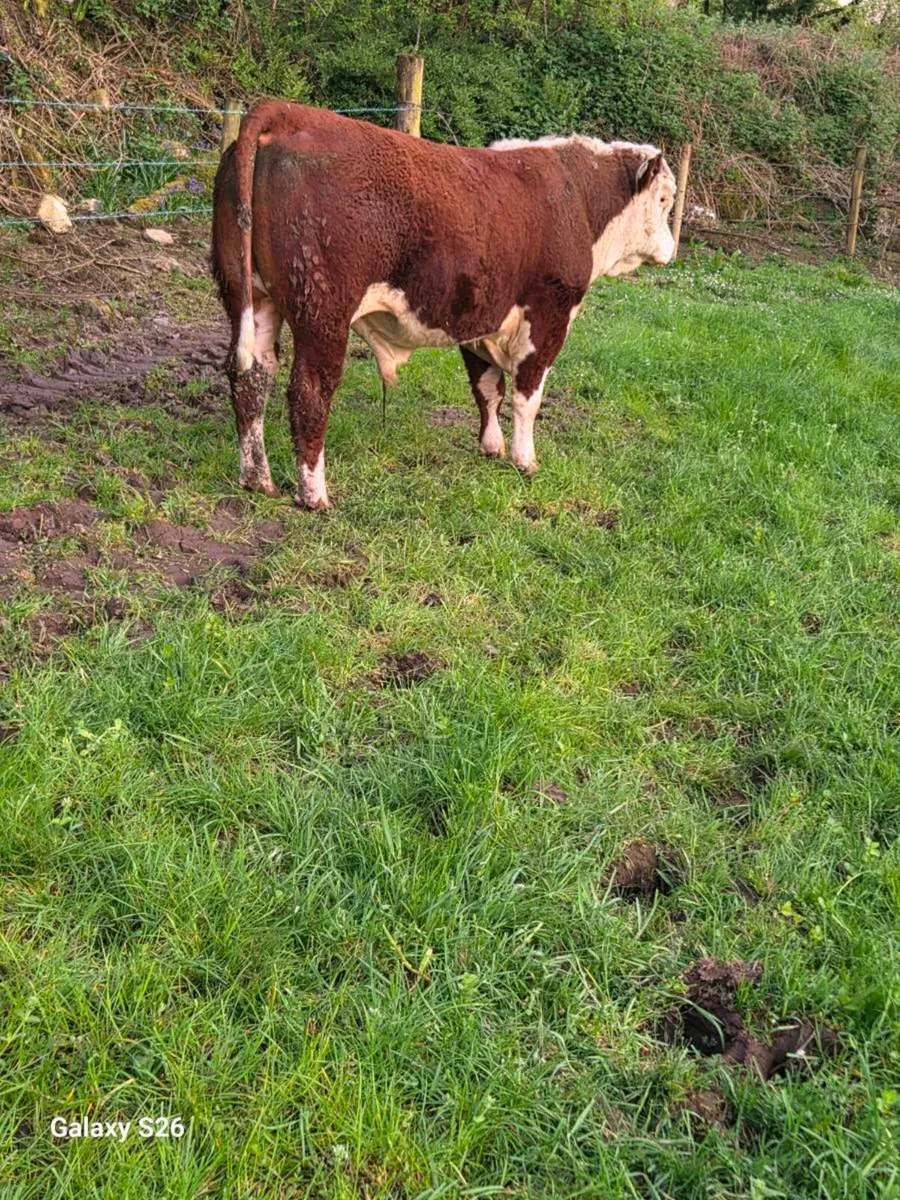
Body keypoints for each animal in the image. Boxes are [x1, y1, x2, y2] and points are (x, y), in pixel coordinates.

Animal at [211, 102, 676, 509]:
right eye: (665, 199)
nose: (672, 250)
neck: (576, 196)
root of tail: (284, 112)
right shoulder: (548, 312)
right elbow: (527, 395)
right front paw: (525, 460)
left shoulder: (481, 317)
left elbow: (487, 388)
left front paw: (491, 446)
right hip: (322, 311)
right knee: (309, 391)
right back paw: (314, 495)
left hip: (250, 296)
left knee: (251, 379)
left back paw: (257, 479)